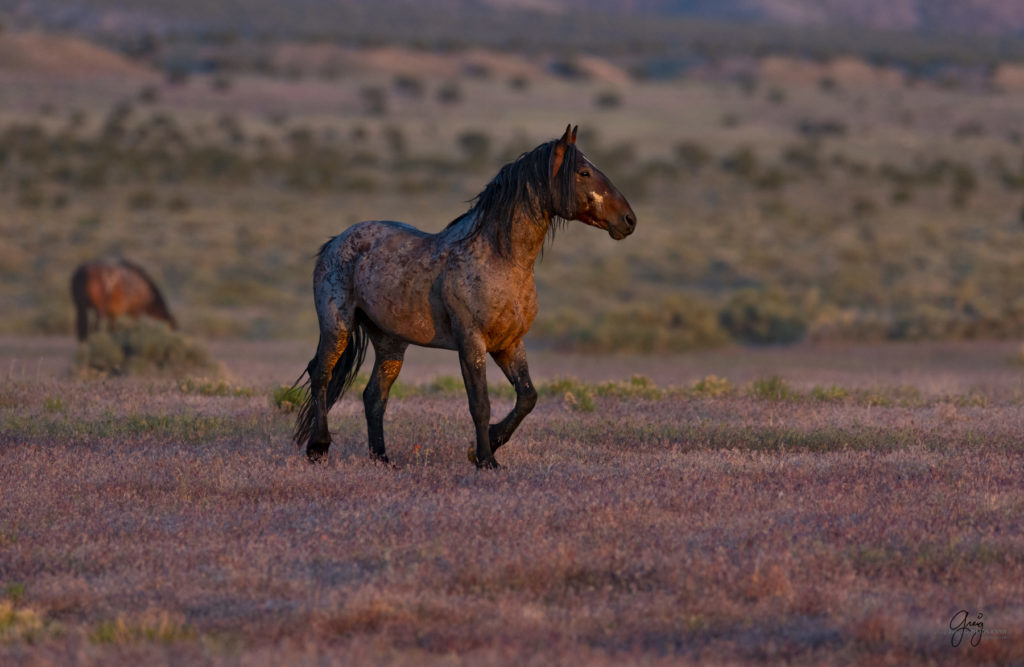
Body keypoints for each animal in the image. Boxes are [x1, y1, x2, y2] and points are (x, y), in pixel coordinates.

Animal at [292, 124, 634, 469]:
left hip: (390, 343)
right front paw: (485, 459)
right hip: (337, 326)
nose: (629, 220)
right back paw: (318, 448)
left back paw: (382, 459)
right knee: (322, 376)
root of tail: (335, 241)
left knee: (374, 395)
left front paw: (488, 445)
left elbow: (527, 397)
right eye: (584, 172)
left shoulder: (509, 344)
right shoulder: (472, 342)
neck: (502, 260)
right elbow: (480, 404)